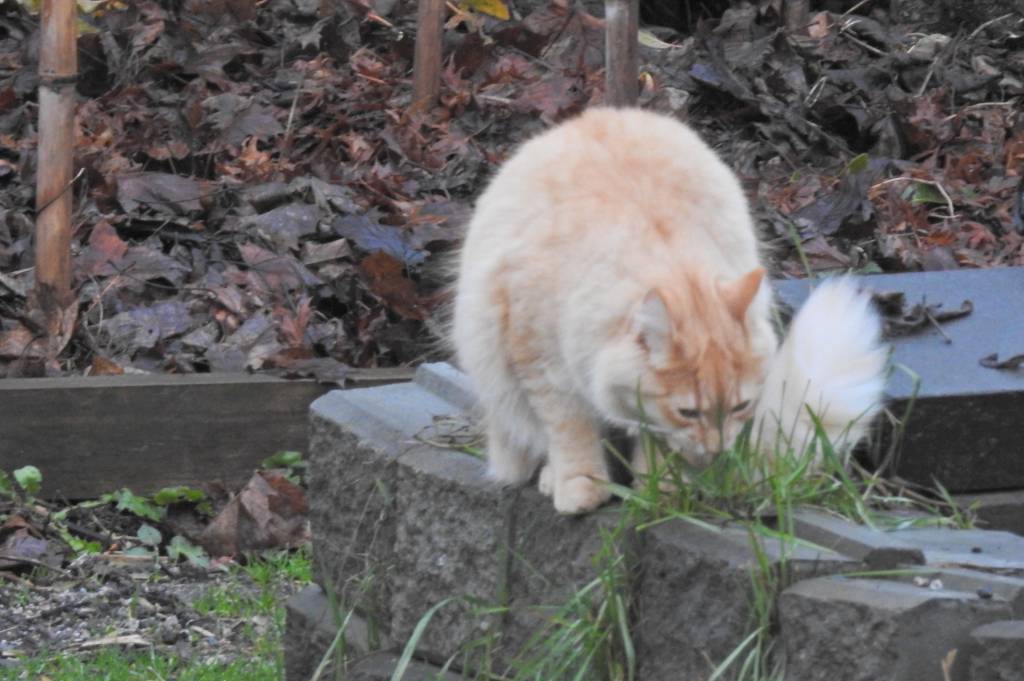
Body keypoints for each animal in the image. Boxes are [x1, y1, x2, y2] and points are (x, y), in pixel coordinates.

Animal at [452, 107, 885, 514]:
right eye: (689, 413)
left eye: (741, 407)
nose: (717, 450)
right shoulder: (542, 367)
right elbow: (571, 432)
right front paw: (581, 486)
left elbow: (655, 441)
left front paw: (659, 491)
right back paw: (551, 477)